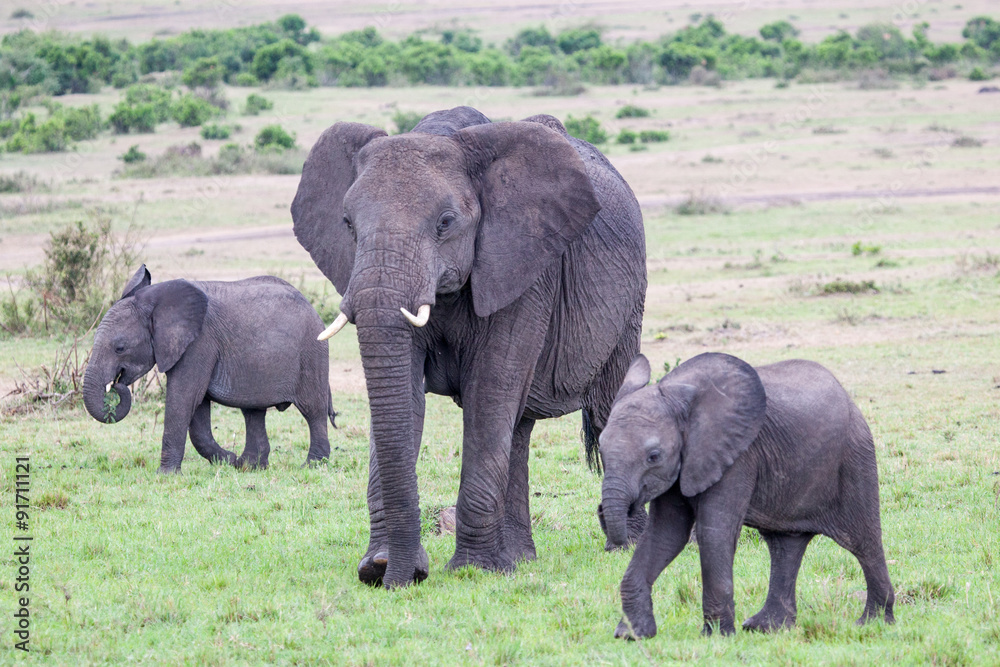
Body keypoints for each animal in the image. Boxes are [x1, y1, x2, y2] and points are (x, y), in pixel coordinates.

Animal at [84, 264, 334, 472]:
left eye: (119, 348)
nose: (116, 385)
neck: (157, 302)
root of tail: (312, 308)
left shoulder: (199, 343)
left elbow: (184, 398)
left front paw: (165, 474)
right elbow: (197, 410)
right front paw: (229, 460)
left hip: (312, 353)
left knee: (313, 410)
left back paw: (311, 466)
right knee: (253, 412)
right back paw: (249, 466)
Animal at [292, 105, 648, 588]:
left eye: (445, 223)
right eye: (347, 224)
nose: (402, 578)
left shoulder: (524, 265)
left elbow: (491, 388)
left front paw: (473, 570)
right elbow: (407, 394)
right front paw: (381, 566)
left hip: (630, 304)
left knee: (609, 404)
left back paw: (624, 546)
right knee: (518, 427)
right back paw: (519, 560)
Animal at [596, 354, 896, 640]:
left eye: (653, 456)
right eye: (601, 450)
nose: (603, 510)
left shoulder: (738, 457)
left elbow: (714, 533)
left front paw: (717, 637)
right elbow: (665, 534)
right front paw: (631, 635)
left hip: (854, 457)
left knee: (863, 541)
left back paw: (872, 622)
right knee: (785, 545)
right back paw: (766, 627)